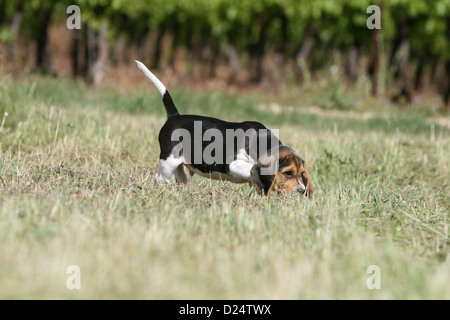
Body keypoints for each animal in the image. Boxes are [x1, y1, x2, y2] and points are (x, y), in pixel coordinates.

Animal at [135, 59, 314, 195]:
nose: (301, 190)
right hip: (168, 160)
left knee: (180, 176)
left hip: (178, 162)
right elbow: (250, 169)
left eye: (301, 174)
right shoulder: (234, 164)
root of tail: (175, 116)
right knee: (161, 177)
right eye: (288, 173)